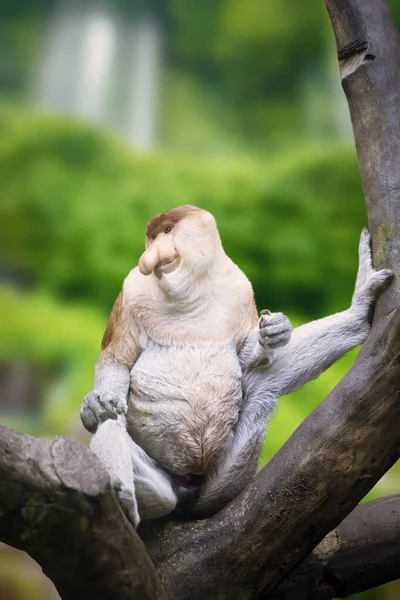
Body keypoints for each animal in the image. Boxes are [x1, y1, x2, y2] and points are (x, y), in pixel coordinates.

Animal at [79, 206, 392, 524]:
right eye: (152, 237)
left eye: (167, 231)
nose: (150, 256)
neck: (189, 294)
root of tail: (187, 484)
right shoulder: (130, 292)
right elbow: (116, 362)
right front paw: (95, 405)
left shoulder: (241, 289)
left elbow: (246, 355)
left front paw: (276, 330)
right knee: (113, 418)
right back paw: (122, 491)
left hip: (223, 478)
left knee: (267, 381)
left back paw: (356, 316)